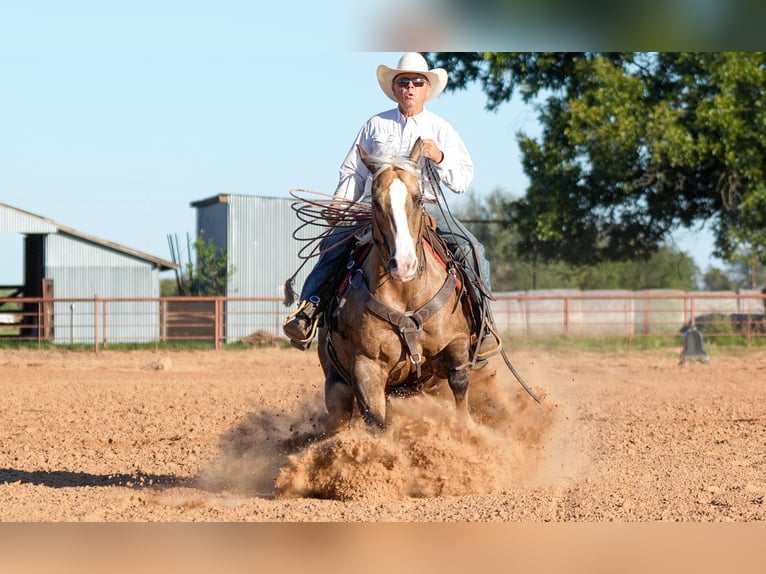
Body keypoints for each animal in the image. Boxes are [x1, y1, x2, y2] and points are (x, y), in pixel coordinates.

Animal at [318, 137, 474, 430]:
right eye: (376, 203)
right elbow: (376, 419)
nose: (404, 264)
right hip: (335, 383)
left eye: (418, 198)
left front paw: (467, 429)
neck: (406, 293)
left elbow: (459, 381)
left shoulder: (456, 341)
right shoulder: (365, 366)